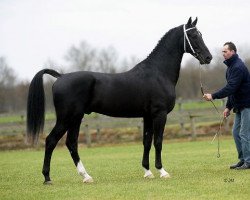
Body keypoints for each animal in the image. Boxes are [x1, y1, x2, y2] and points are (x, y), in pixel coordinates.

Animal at [26, 17, 211, 184]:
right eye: (194, 35)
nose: (208, 57)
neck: (158, 73)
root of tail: (60, 76)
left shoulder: (147, 116)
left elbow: (146, 141)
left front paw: (147, 172)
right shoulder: (160, 114)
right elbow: (158, 141)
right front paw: (162, 171)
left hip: (76, 118)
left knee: (71, 143)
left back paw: (86, 176)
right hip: (67, 118)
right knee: (51, 141)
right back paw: (48, 178)